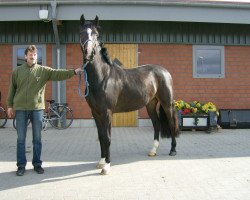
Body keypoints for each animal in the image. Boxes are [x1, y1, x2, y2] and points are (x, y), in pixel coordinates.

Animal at [79, 15, 179, 175]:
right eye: (81, 32)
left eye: (96, 34)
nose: (89, 52)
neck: (103, 77)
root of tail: (164, 71)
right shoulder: (95, 113)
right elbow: (101, 137)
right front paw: (101, 162)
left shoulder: (107, 112)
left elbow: (107, 138)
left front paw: (107, 166)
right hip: (151, 104)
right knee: (156, 124)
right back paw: (153, 151)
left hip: (166, 103)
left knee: (170, 123)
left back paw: (173, 150)